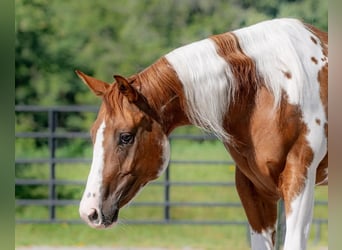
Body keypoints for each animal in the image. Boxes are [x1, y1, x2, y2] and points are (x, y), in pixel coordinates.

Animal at [76, 19, 328, 250]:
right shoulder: (255, 190)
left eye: (125, 136)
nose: (90, 212)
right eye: (93, 134)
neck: (271, 91)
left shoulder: (299, 181)